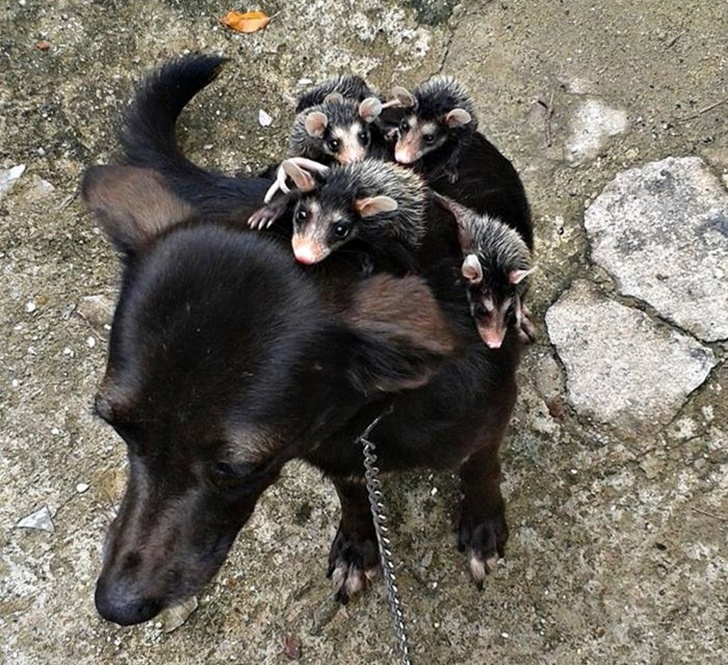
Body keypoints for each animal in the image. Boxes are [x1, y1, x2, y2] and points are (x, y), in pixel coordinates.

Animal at [82, 55, 520, 624]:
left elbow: (481, 468)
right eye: (117, 426)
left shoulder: (490, 418)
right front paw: (358, 543)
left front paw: (483, 522)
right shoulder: (335, 457)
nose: (116, 605)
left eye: (236, 468)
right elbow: (354, 496)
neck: (368, 416)